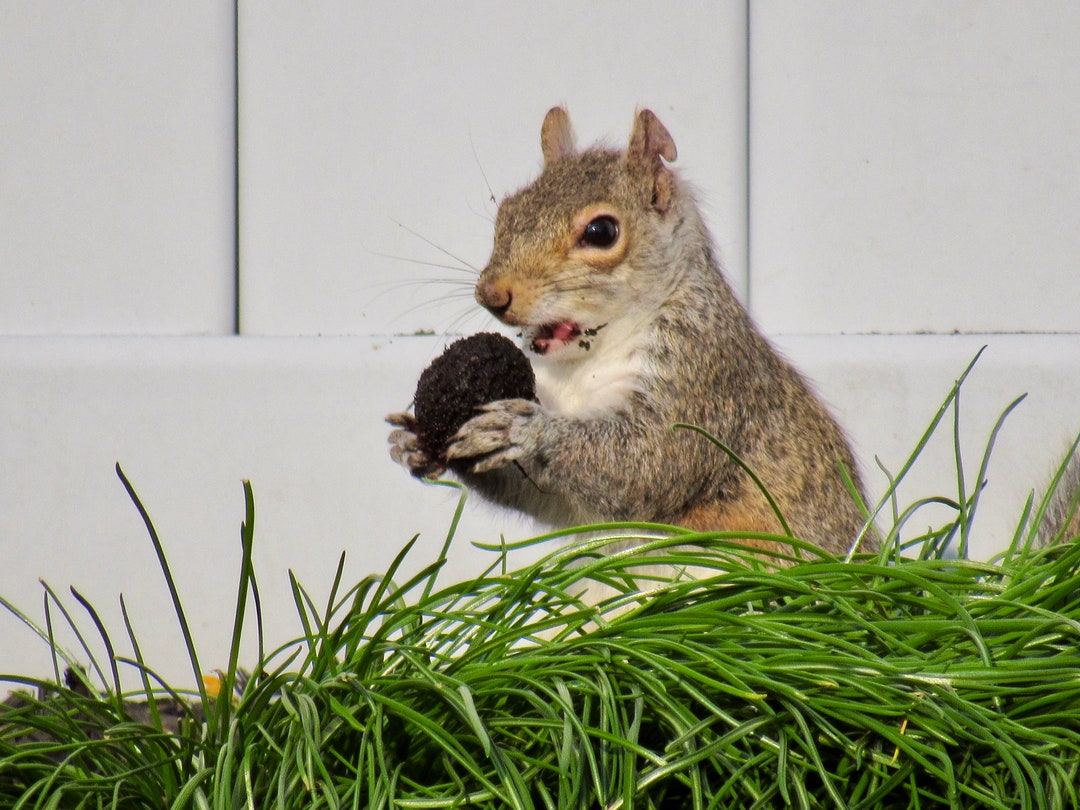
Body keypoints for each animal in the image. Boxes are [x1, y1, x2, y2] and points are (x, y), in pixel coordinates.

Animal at [389, 107, 876, 558]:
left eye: (601, 231)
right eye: (506, 212)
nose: (491, 295)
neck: (585, 362)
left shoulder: (703, 375)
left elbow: (650, 463)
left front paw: (525, 431)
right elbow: (552, 499)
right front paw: (413, 439)